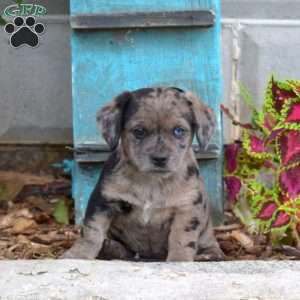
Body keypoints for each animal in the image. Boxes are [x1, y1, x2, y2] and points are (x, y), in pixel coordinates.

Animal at [61, 86, 223, 260]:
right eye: (139, 131)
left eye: (179, 131)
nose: (160, 158)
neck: (152, 181)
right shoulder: (103, 200)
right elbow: (92, 232)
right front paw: (77, 254)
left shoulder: (187, 208)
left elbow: (181, 239)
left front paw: (179, 260)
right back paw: (112, 248)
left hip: (206, 232)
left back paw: (209, 255)